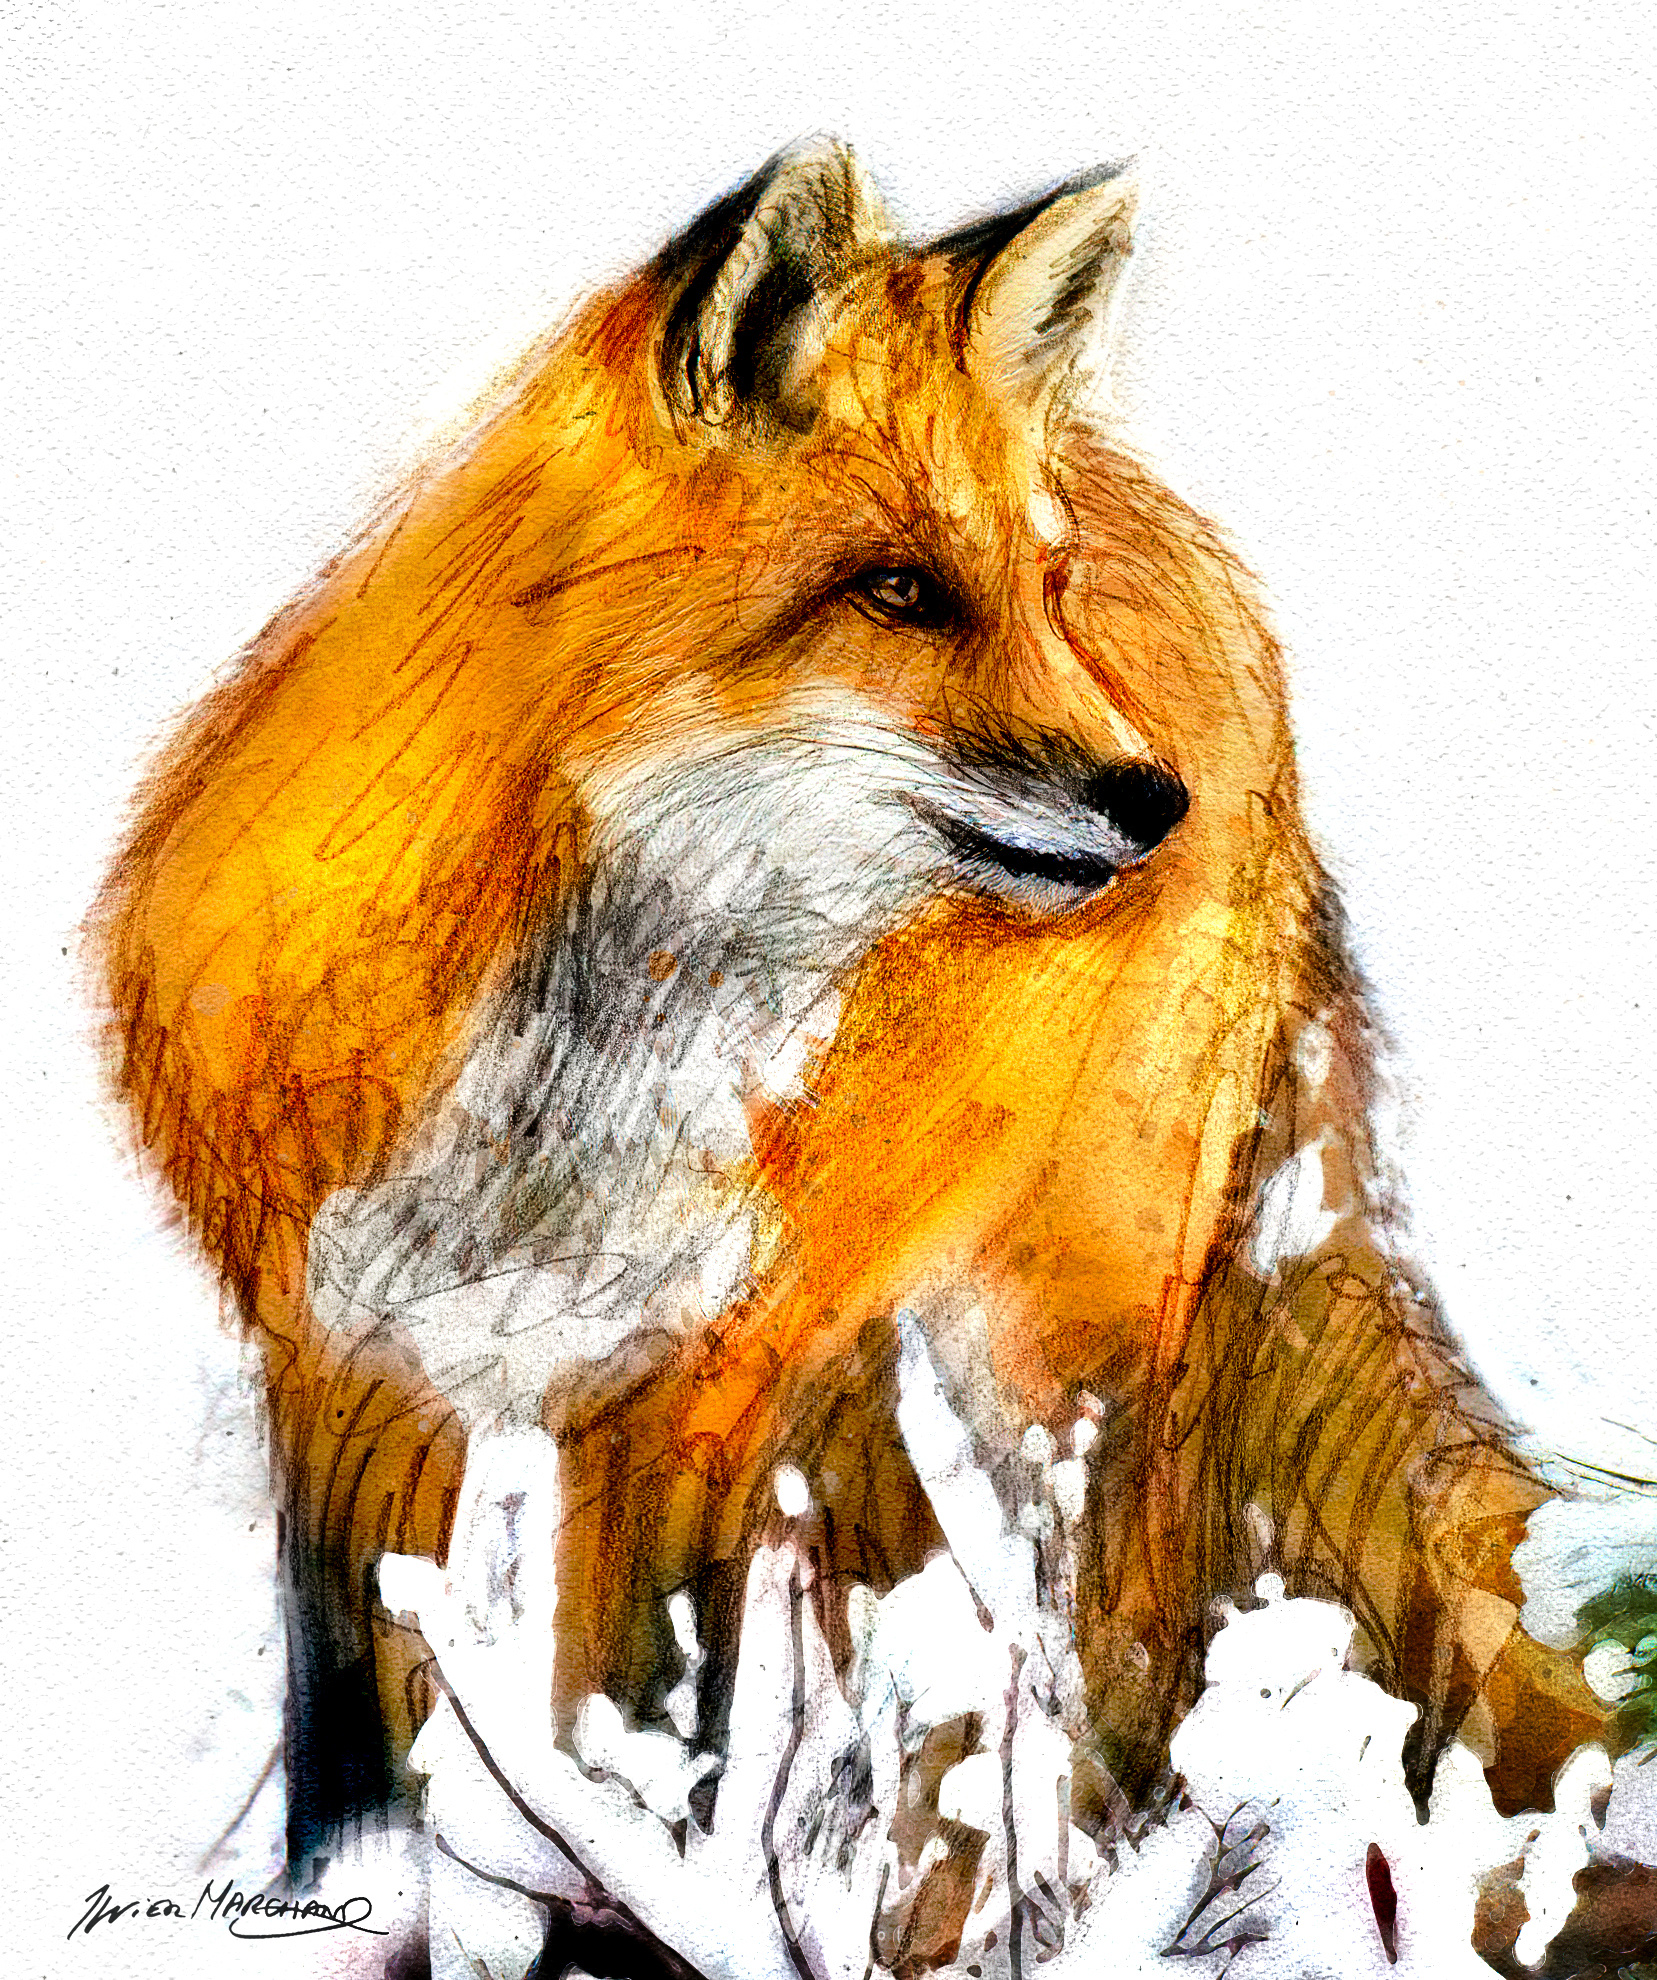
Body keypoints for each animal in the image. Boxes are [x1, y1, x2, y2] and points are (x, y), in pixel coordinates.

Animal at [96, 138, 1607, 1912]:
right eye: (896, 588)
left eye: (1041, 589)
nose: (1153, 800)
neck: (593, 1040)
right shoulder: (336, 1363)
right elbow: (346, 1740)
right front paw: (347, 1906)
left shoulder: (700, 1384)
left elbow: (654, 1714)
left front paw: (645, 1896)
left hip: (1054, 1346)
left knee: (1124, 1648)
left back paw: (1104, 1869)